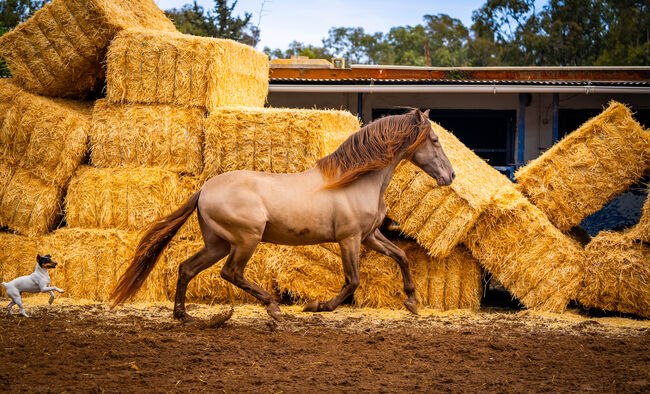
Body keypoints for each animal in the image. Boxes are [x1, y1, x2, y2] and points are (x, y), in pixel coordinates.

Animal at [110, 107, 450, 320]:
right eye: (434, 140)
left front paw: (412, 302)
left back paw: (184, 316)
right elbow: (352, 281)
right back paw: (273, 307)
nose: (450, 176)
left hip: (218, 243)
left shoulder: (369, 236)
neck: (355, 180)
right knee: (231, 273)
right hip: (245, 240)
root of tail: (204, 190)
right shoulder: (350, 238)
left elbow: (400, 256)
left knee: (186, 268)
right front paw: (317, 306)